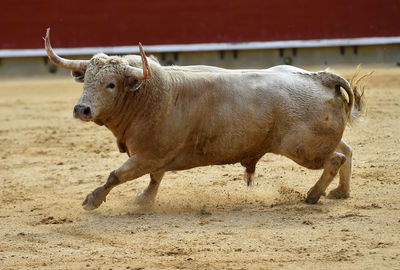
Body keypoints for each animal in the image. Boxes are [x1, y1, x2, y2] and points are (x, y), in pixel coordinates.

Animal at [43, 28, 366, 210]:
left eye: (111, 84)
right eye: (86, 80)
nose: (82, 109)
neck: (151, 94)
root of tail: (320, 77)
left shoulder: (150, 154)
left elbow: (116, 175)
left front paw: (92, 200)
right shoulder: (155, 156)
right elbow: (154, 178)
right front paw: (143, 201)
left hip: (303, 149)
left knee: (335, 159)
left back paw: (313, 195)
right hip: (318, 142)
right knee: (347, 151)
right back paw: (341, 193)